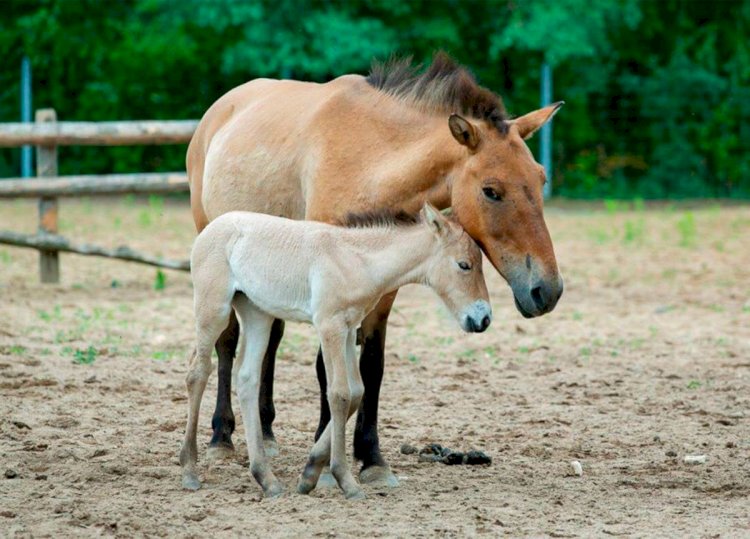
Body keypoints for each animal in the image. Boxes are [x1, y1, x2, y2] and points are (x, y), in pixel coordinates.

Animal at [179, 204, 490, 502]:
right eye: (464, 265)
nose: (483, 319)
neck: (356, 260)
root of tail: (212, 227)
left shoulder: (350, 329)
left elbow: (356, 392)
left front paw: (310, 473)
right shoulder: (330, 326)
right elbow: (339, 394)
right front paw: (345, 481)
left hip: (257, 313)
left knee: (247, 379)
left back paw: (267, 480)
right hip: (213, 310)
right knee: (198, 372)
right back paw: (190, 471)